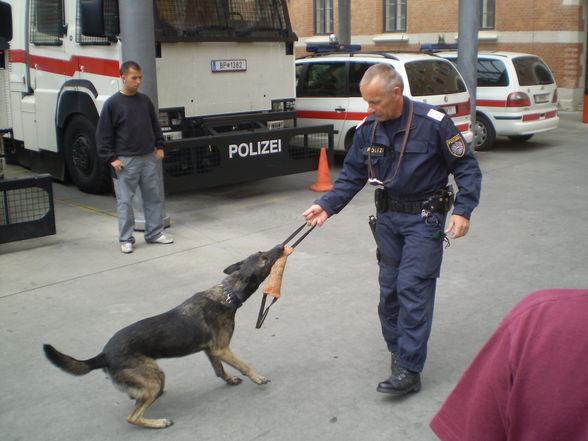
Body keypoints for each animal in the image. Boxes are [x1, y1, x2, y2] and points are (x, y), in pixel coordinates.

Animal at [43, 242, 284, 428]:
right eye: (264, 258)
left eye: (263, 252)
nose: (281, 246)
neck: (228, 293)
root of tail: (103, 355)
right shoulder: (222, 349)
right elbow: (244, 365)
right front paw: (258, 378)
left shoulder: (211, 350)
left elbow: (219, 370)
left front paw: (230, 379)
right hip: (155, 377)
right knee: (133, 417)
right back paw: (158, 422)